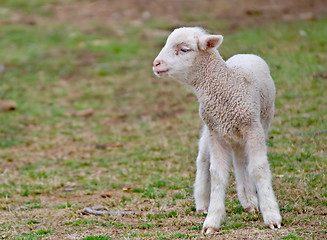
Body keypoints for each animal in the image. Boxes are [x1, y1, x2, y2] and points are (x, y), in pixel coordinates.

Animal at [152, 27, 284, 233]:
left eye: (184, 49)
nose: (156, 64)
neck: (226, 84)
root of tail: (245, 54)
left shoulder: (253, 128)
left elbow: (259, 168)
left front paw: (271, 216)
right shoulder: (216, 133)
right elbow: (217, 174)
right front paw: (212, 220)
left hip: (259, 122)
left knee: (242, 161)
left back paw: (249, 201)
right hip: (212, 128)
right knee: (205, 158)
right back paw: (204, 202)